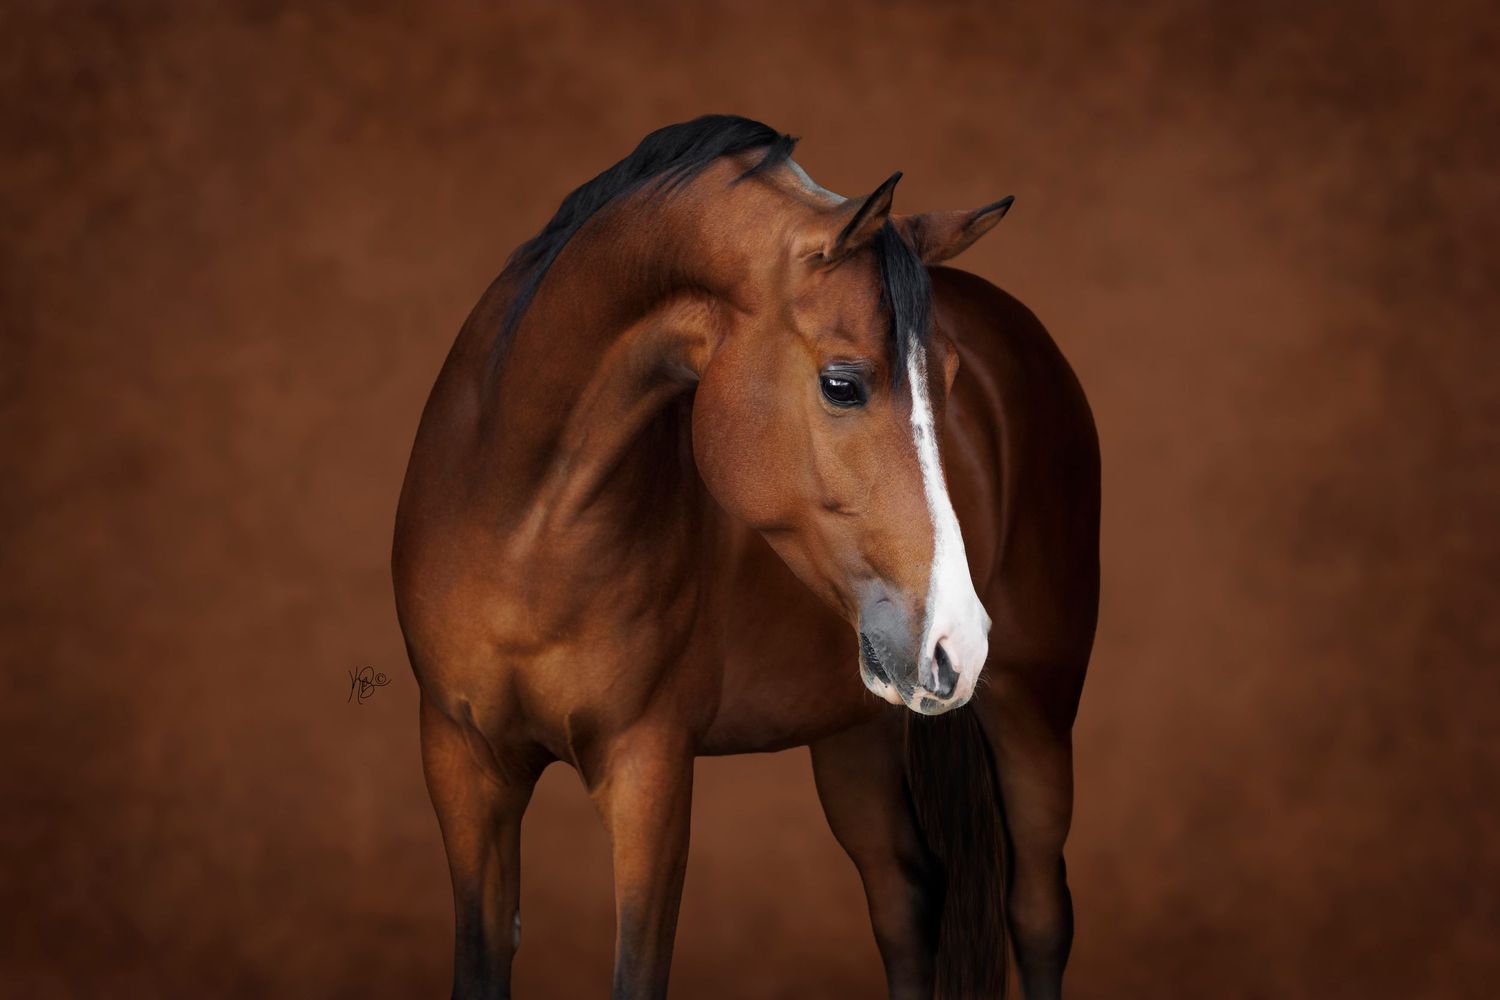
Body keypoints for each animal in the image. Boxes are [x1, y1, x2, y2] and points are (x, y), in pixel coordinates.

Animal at [393, 115, 1099, 1000]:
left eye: (951, 379)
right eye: (842, 383)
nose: (957, 644)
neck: (521, 526)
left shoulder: (648, 771)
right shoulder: (462, 765)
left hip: (1035, 709)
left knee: (1038, 914)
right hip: (853, 732)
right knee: (906, 901)